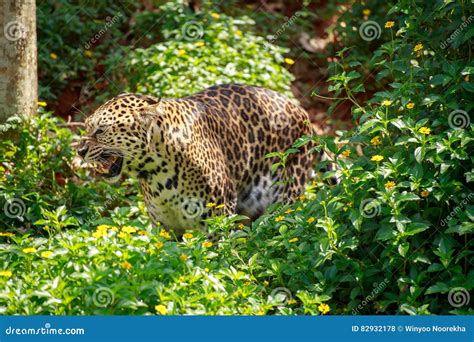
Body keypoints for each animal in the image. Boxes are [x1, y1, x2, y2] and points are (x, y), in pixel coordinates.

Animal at [78, 84, 316, 234]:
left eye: (101, 130)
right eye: (87, 126)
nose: (79, 151)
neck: (157, 174)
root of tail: (300, 110)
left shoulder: (217, 216)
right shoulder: (164, 226)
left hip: (285, 200)